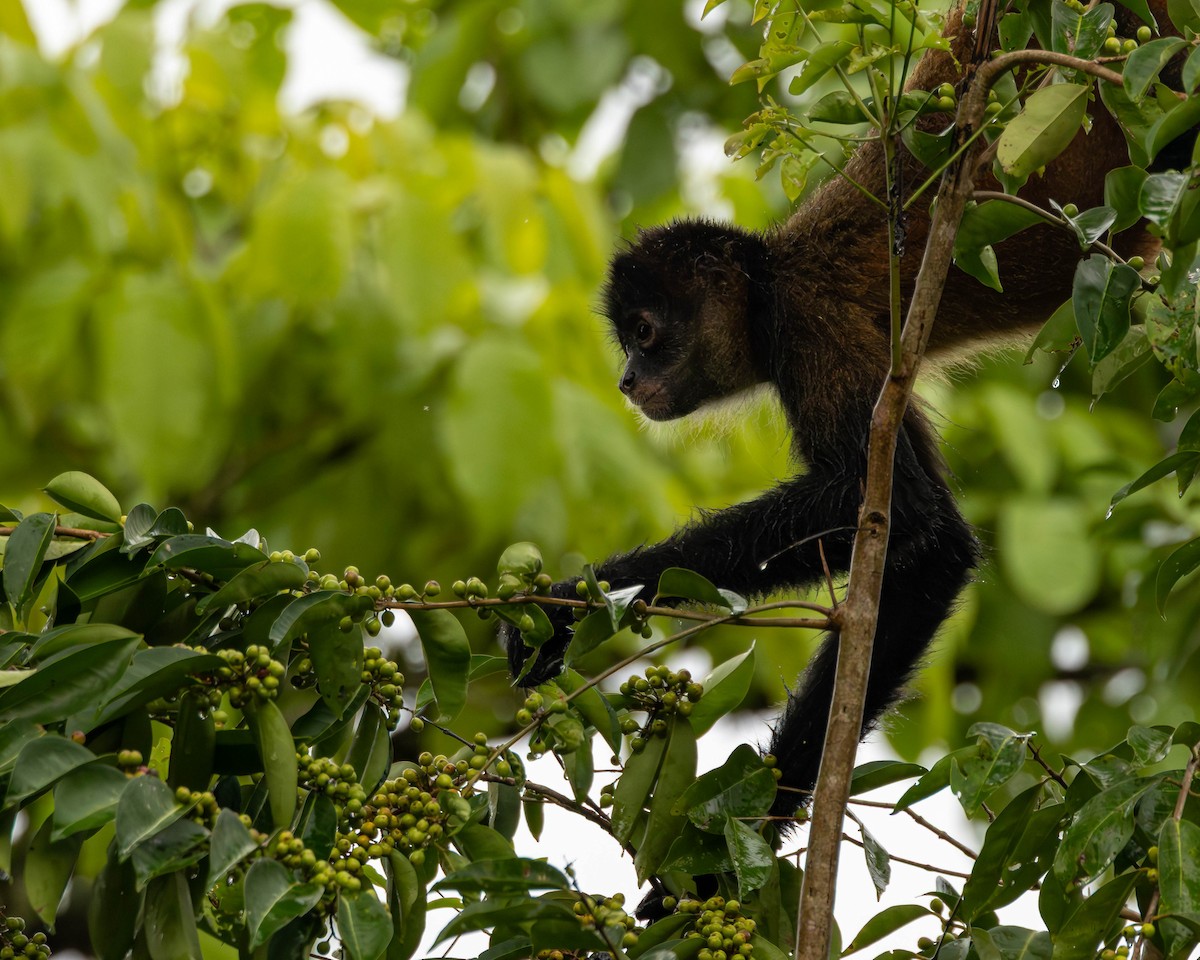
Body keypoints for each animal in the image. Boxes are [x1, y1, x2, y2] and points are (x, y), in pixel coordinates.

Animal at [505, 0, 1190, 828]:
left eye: (644, 332)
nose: (628, 381)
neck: (770, 283)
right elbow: (931, 534)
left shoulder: (809, 326)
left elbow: (920, 525)